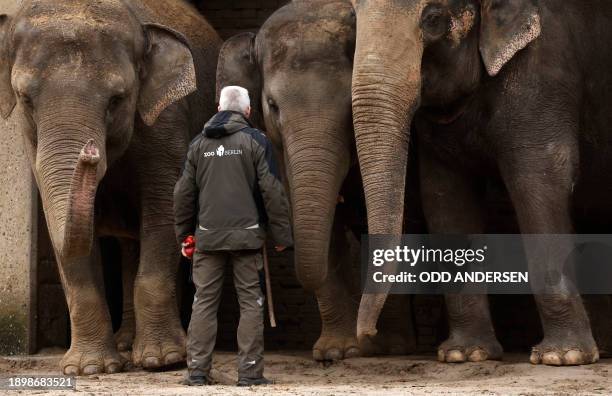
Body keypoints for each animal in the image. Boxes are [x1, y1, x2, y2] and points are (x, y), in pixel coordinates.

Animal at [0, 0, 220, 374]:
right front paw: (89, 369)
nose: (89, 152)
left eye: (117, 99)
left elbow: (164, 207)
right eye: (25, 98)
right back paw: (125, 344)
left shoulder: (167, 120)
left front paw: (162, 360)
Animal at [350, 0, 612, 366]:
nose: (366, 336)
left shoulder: (544, 71)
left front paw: (562, 357)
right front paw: (464, 354)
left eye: (432, 18)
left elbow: (538, 180)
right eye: (353, 17)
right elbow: (446, 200)